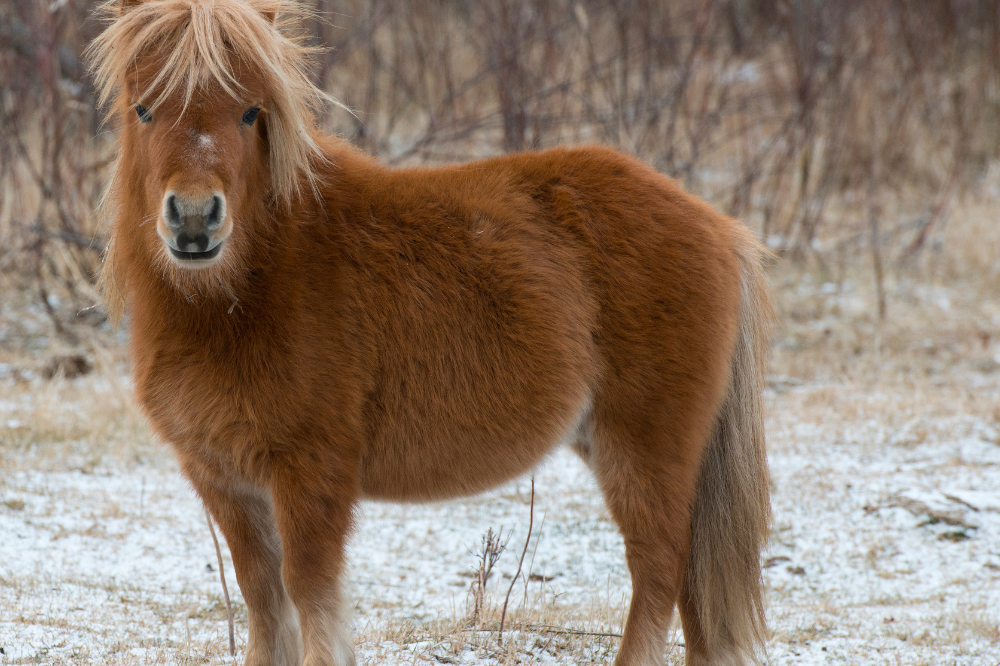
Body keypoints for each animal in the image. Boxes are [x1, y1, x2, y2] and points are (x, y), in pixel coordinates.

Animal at [86, 1, 772, 664]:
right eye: (143, 108)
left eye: (250, 111)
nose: (194, 221)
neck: (249, 292)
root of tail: (717, 226)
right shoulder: (225, 481)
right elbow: (263, 599)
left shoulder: (310, 475)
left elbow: (309, 595)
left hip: (644, 451)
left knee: (659, 569)